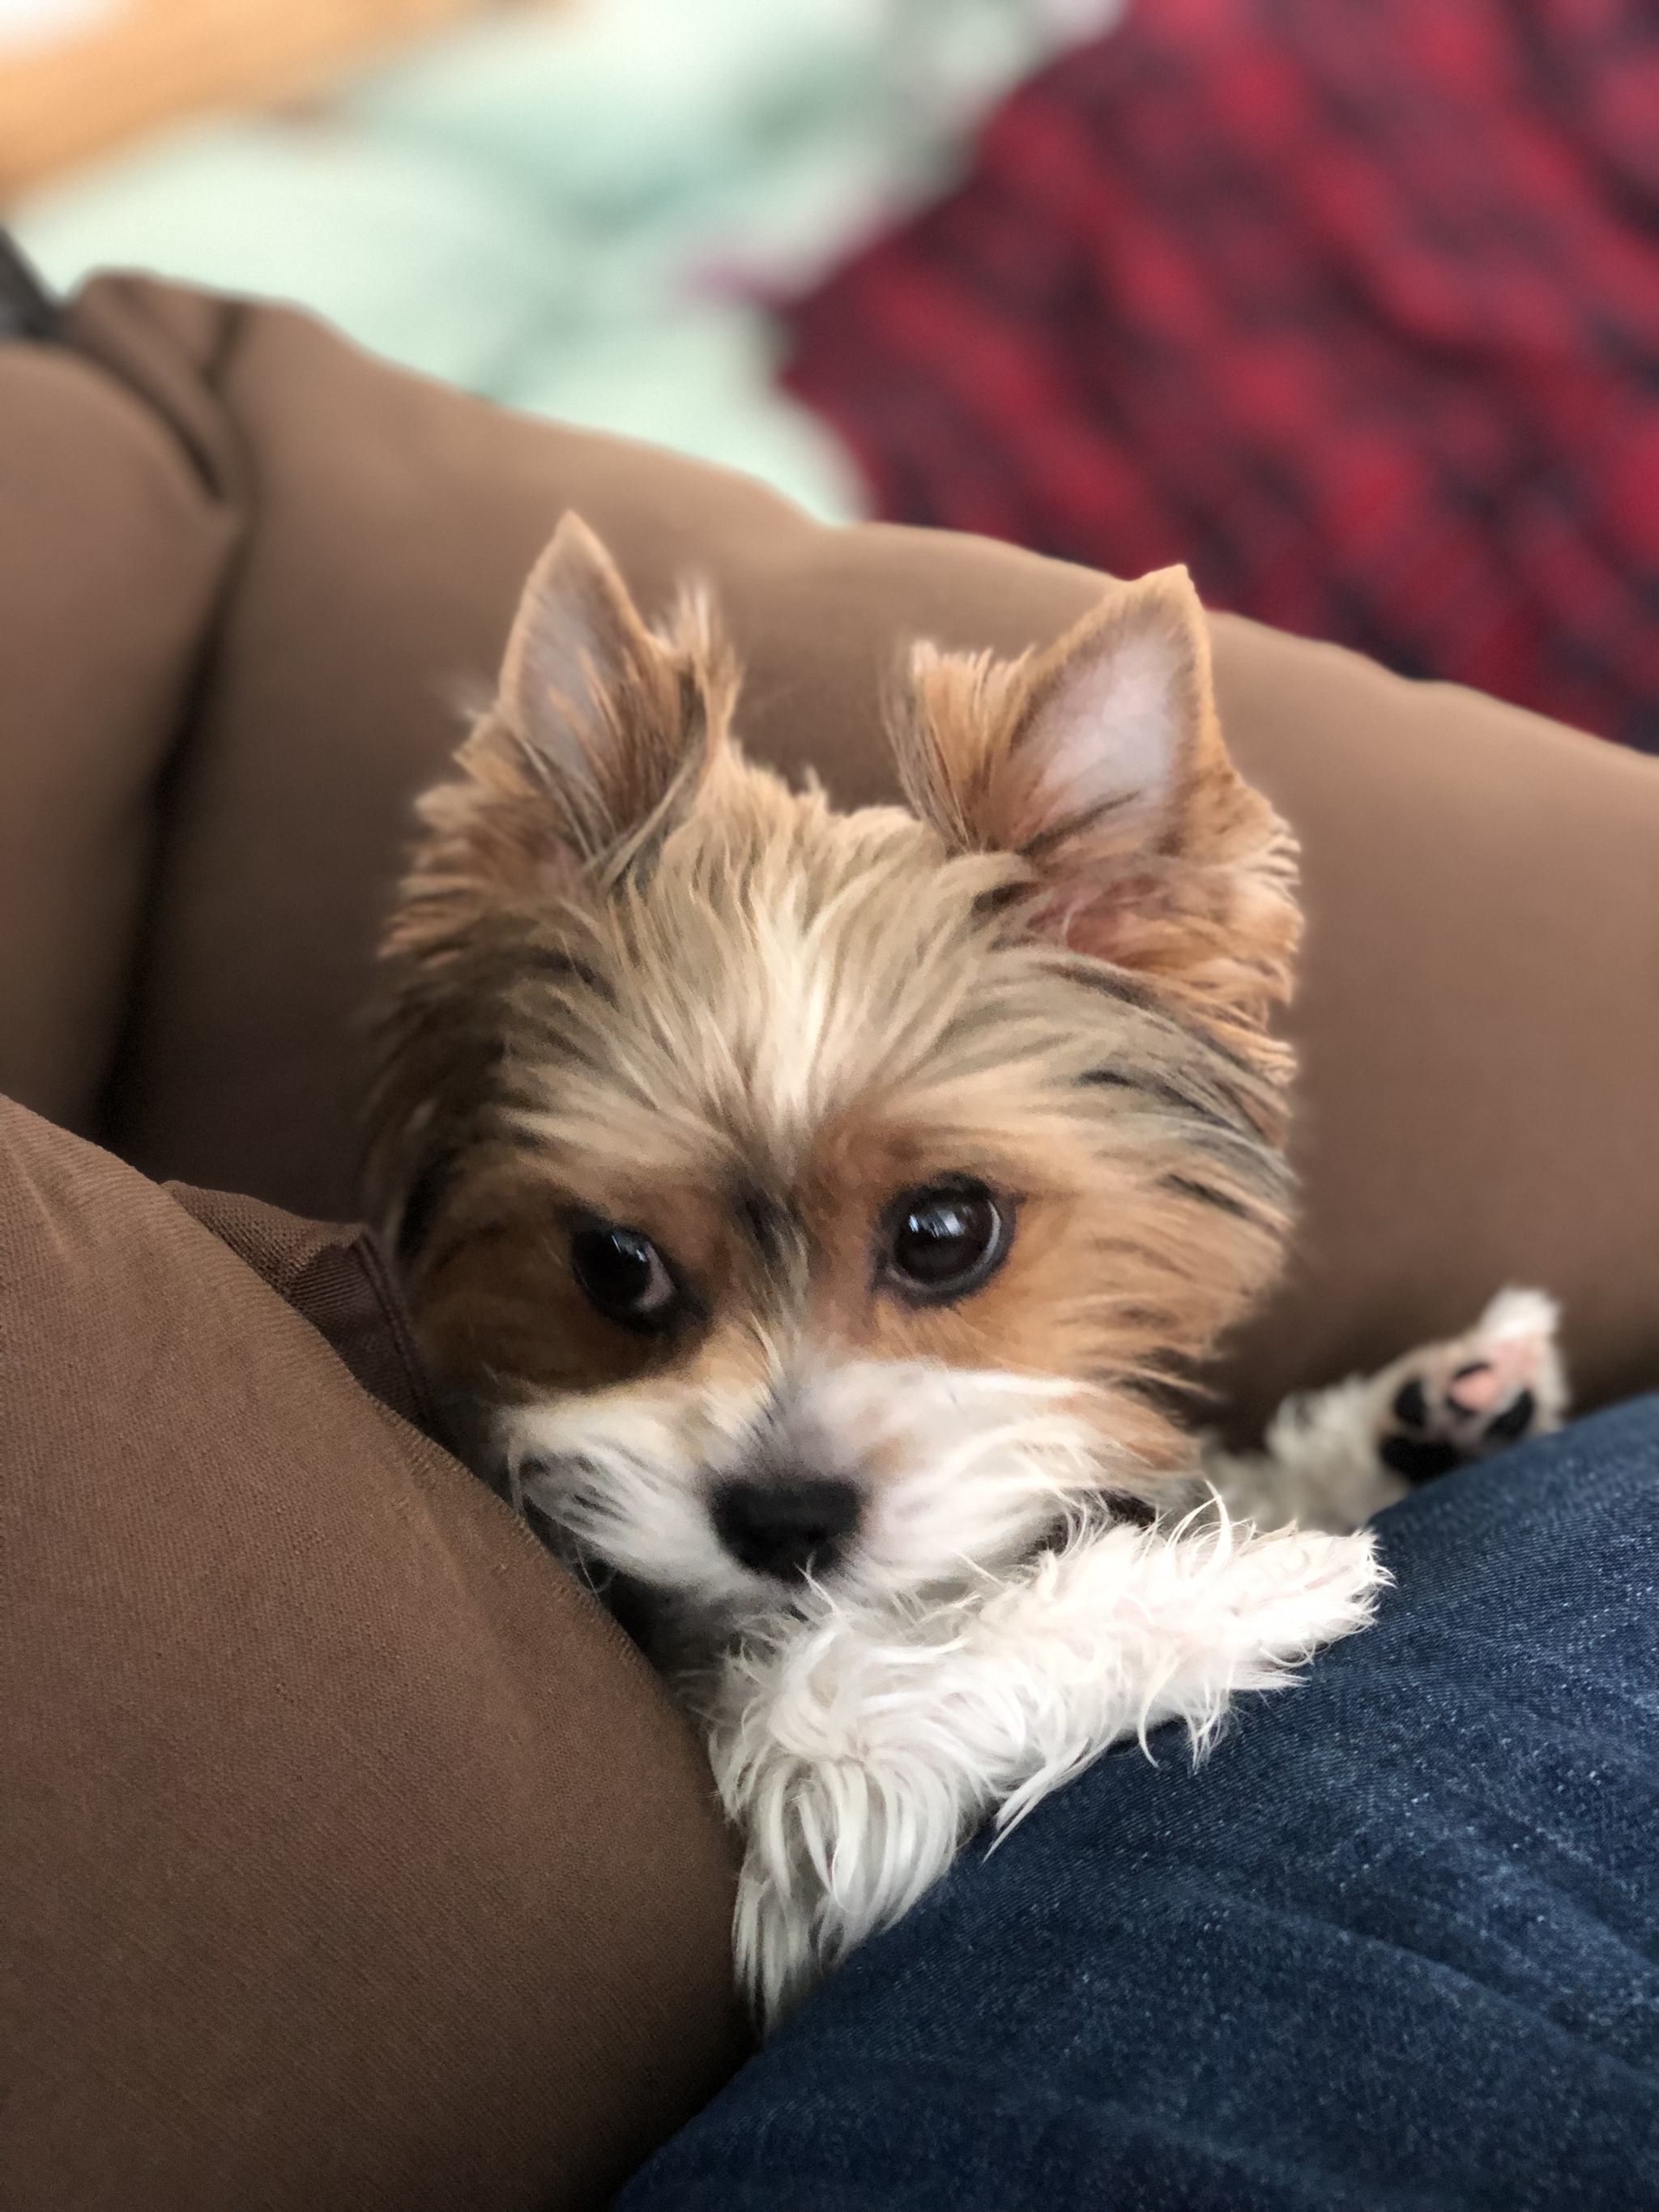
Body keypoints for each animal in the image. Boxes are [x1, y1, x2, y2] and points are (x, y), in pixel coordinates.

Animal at [369, 513, 1566, 2026]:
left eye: (944, 1230)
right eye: (614, 1263)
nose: (780, 1520)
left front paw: (1431, 1417)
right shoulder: (803, 1812)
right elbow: (847, 1696)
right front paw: (1238, 1583)